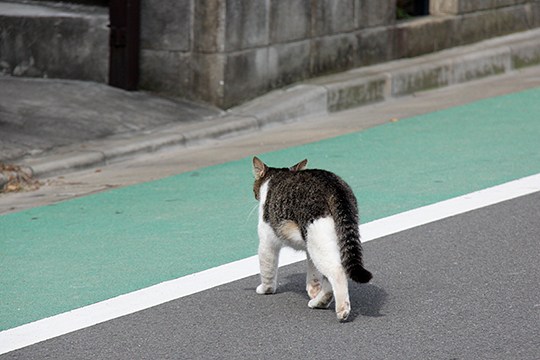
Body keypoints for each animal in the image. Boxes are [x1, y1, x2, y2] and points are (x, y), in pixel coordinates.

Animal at [252, 157, 372, 320]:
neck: (275, 177)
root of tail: (333, 186)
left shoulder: (267, 241)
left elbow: (267, 269)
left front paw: (266, 289)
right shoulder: (308, 247)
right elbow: (313, 271)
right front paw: (313, 290)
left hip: (317, 238)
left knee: (337, 272)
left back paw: (341, 309)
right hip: (323, 240)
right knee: (329, 276)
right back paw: (318, 302)